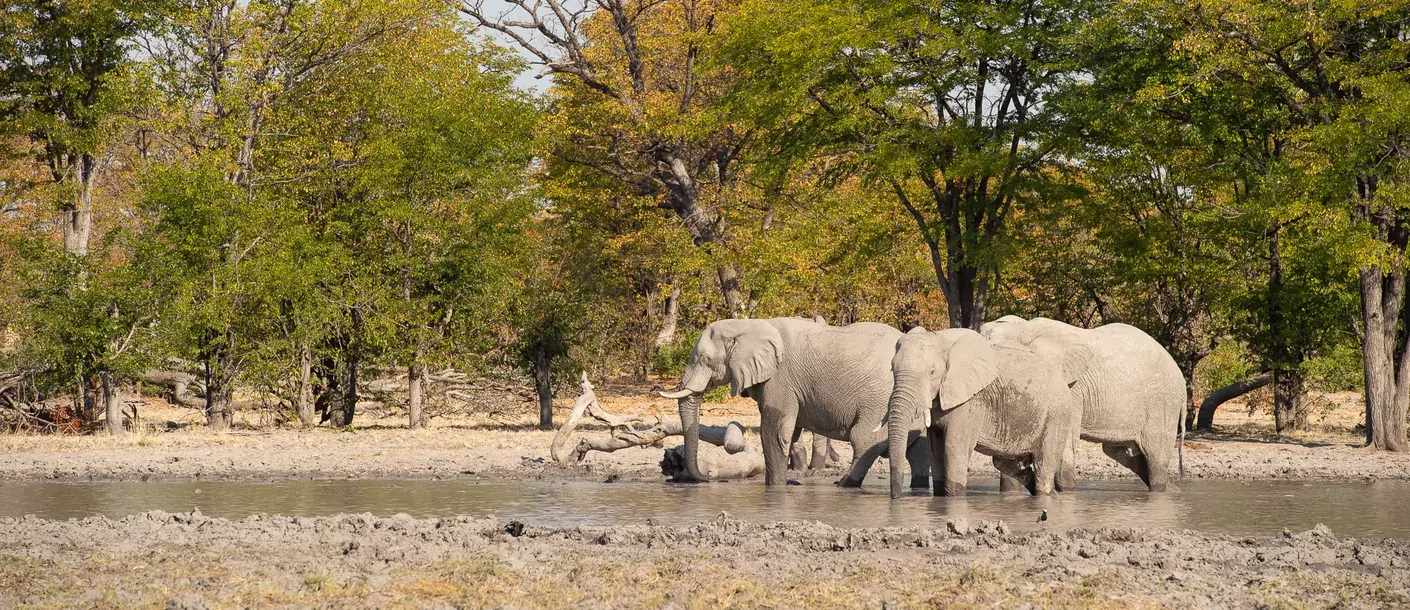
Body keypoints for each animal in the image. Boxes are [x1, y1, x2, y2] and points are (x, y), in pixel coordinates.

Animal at [662, 318, 936, 484]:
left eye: (704, 359)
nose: (706, 478)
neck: (749, 325)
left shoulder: (780, 380)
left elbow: (774, 434)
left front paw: (775, 489)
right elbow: (790, 433)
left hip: (879, 400)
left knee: (863, 440)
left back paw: (844, 484)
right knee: (917, 450)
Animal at [885, 325, 1082, 495]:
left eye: (932, 372)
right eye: (892, 368)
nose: (895, 497)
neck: (942, 339)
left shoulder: (970, 402)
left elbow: (953, 448)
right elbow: (936, 452)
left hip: (1057, 414)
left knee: (1043, 466)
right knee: (1004, 462)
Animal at [981, 314, 1190, 490]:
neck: (1027, 328)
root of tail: (1181, 379)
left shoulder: (1072, 389)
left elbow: (1066, 440)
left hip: (1162, 403)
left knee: (1155, 457)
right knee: (1122, 454)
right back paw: (1175, 490)